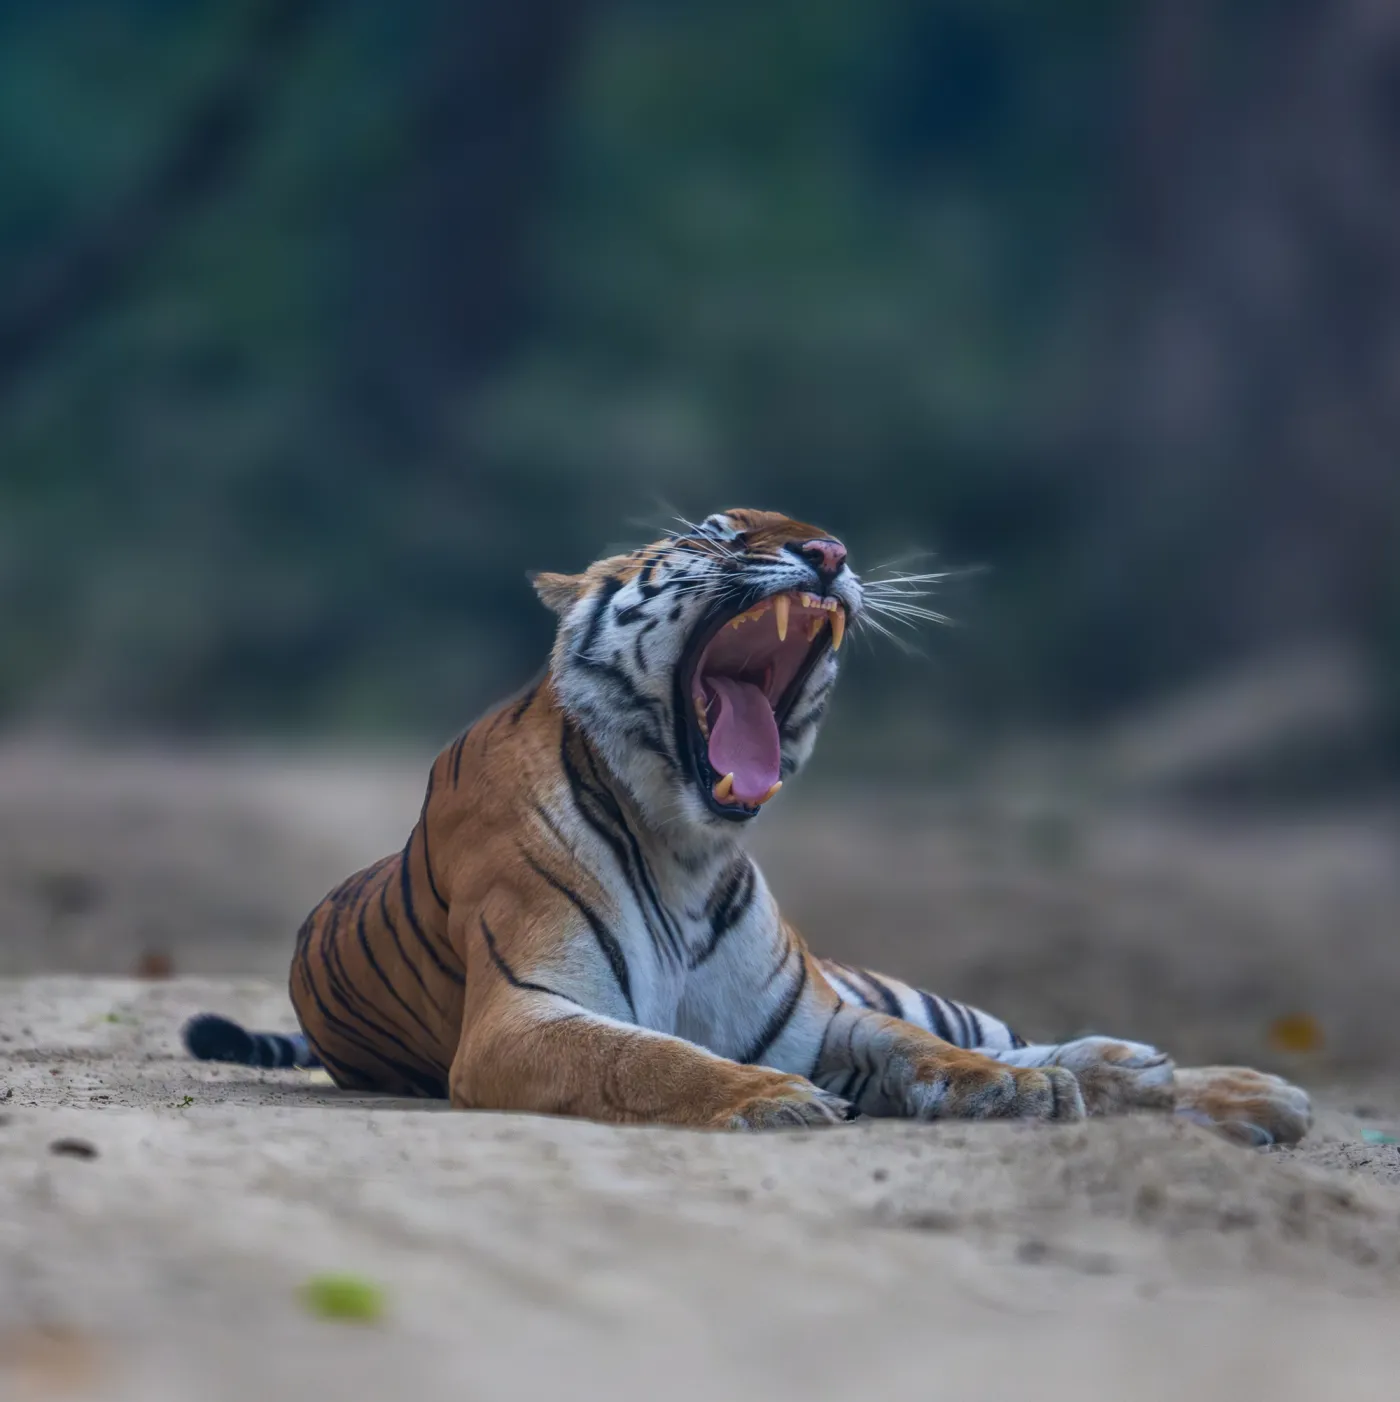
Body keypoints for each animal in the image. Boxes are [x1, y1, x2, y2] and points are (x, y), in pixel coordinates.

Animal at [184, 508, 1311, 1144]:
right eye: (719, 536)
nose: (831, 552)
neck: (688, 843)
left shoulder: (819, 1015)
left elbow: (923, 1047)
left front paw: (1004, 1090)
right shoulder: (527, 1015)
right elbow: (648, 1057)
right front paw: (776, 1099)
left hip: (877, 980)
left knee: (1009, 1031)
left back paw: (1218, 1085)